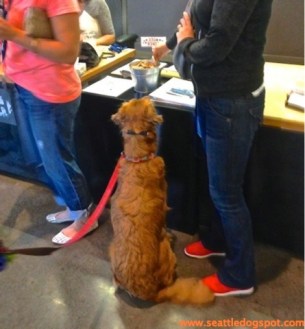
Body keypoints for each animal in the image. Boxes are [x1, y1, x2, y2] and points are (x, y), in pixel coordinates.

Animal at [110, 97, 214, 304]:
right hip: (167, 252)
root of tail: (150, 292)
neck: (138, 158)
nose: (147, 96)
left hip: (112, 248)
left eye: (134, 100)